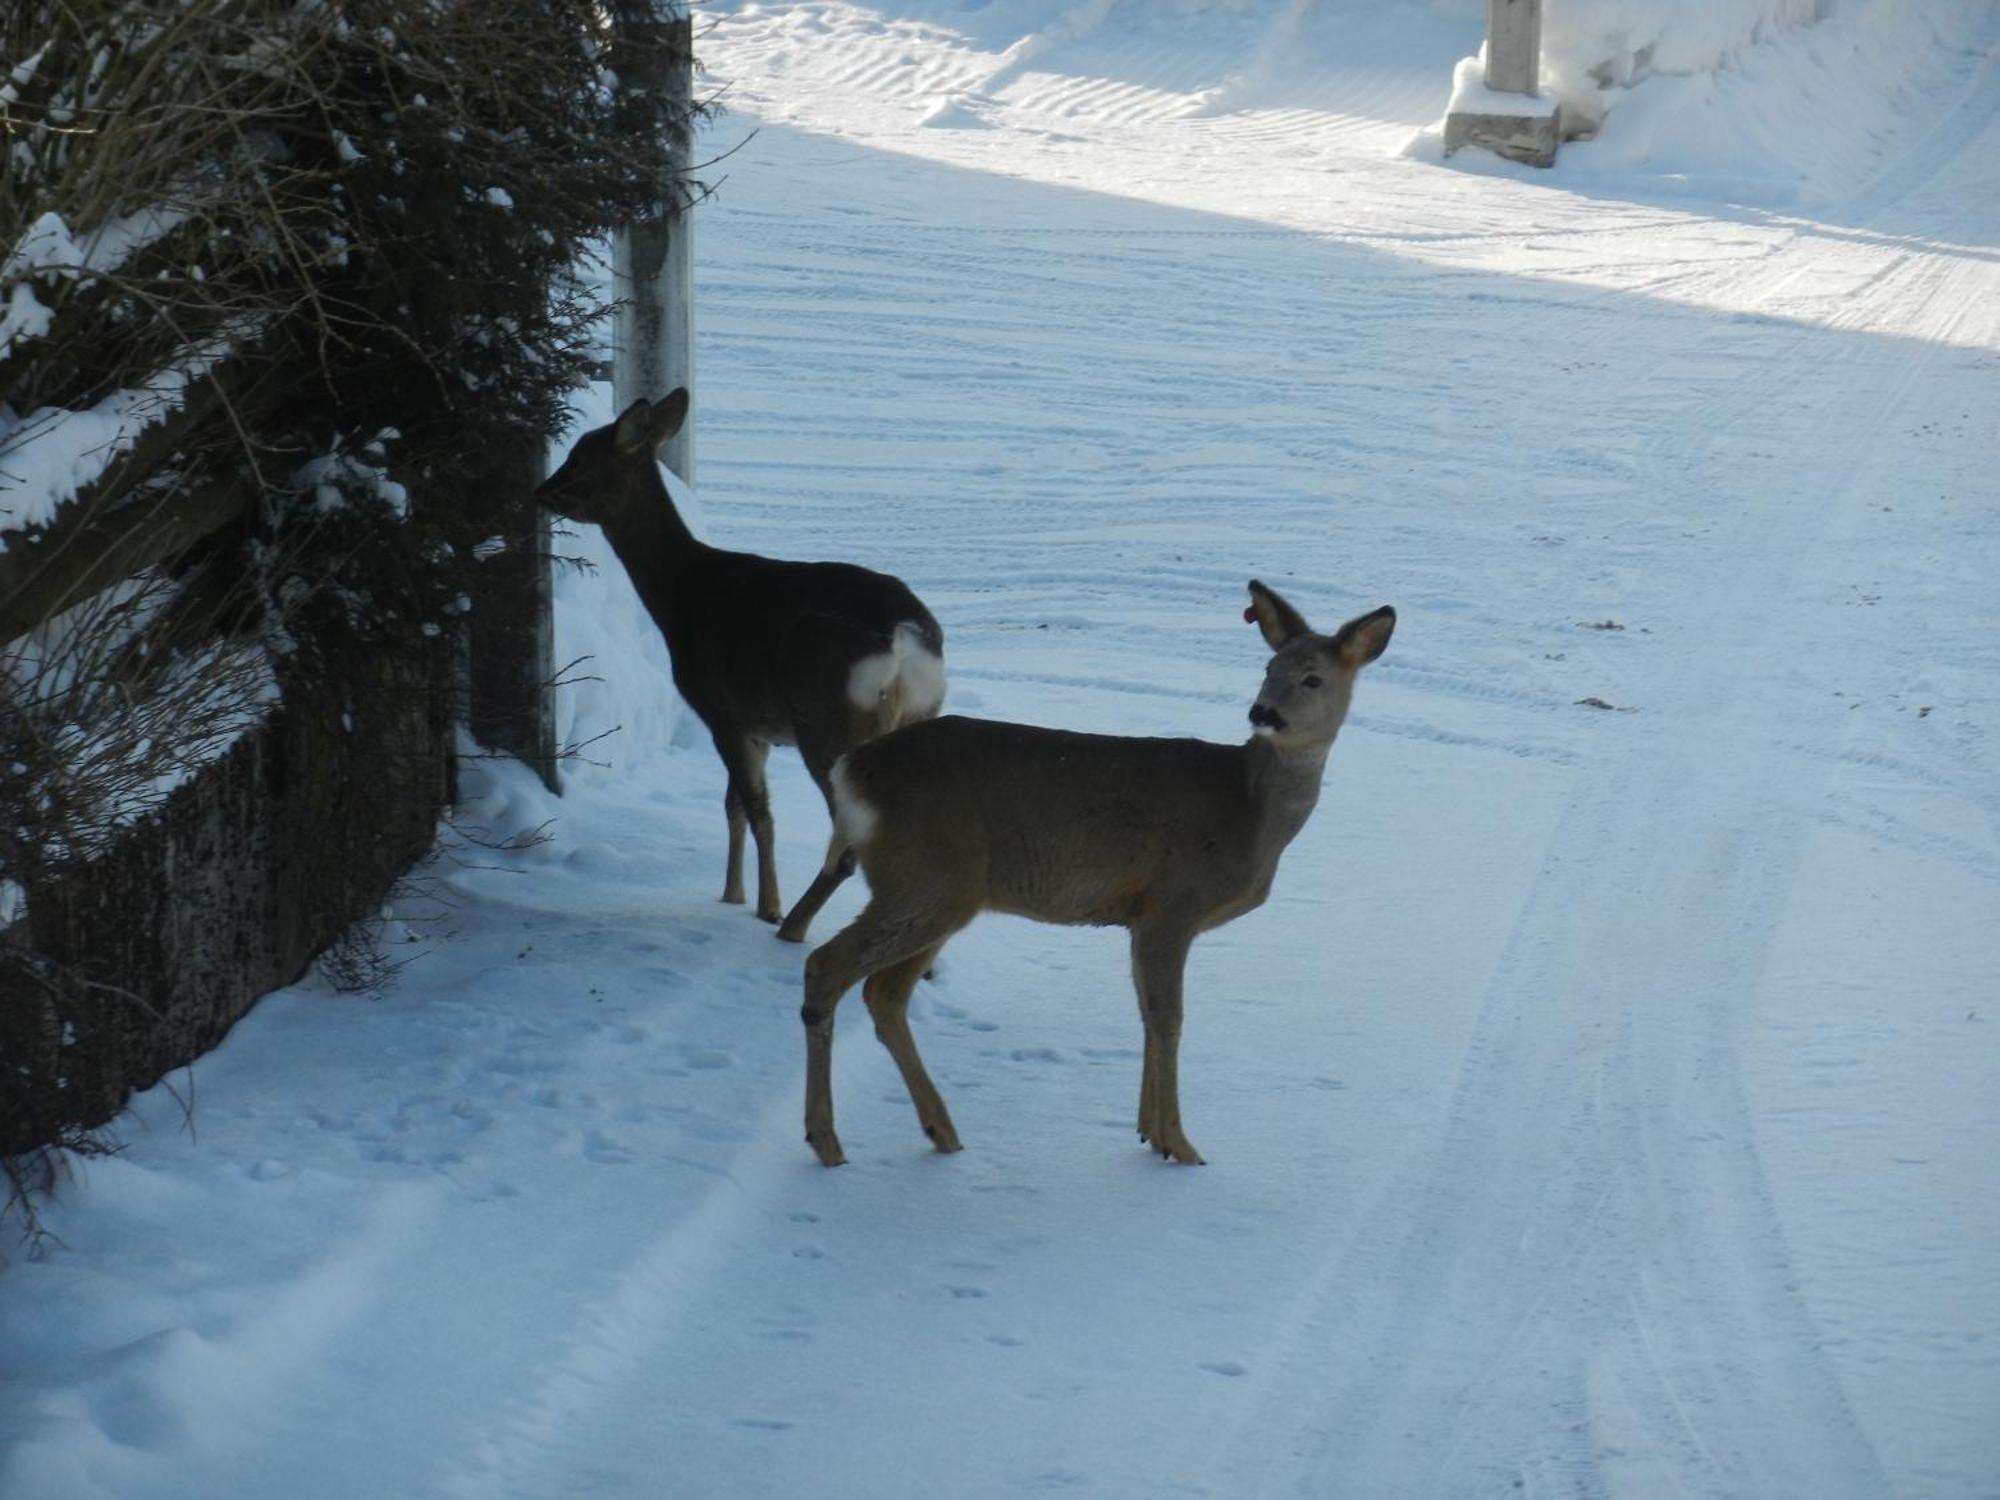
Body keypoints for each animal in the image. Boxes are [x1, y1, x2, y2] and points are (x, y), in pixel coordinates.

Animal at [540, 394, 944, 944]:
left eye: (580, 458)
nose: (541, 491)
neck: (682, 597)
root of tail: (905, 641)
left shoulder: (720, 708)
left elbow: (756, 811)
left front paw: (765, 906)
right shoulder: (758, 725)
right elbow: (733, 805)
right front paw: (733, 894)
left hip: (828, 722)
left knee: (848, 847)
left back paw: (793, 926)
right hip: (918, 717)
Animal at [796, 580, 1392, 1168]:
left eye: (1312, 678)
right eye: (1269, 667)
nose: (1263, 712)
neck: (1249, 811)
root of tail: (851, 770)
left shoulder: (1140, 918)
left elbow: (1147, 1014)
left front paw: (1149, 1133)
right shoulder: (1173, 905)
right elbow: (1169, 1018)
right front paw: (1180, 1144)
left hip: (943, 892)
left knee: (884, 993)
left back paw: (940, 1130)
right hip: (924, 877)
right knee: (827, 967)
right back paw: (828, 1142)